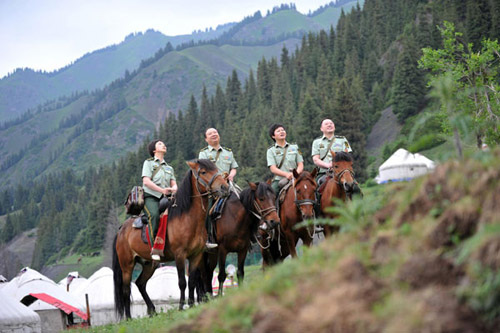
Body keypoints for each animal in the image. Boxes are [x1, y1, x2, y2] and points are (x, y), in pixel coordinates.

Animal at [112, 159, 229, 320]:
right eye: (204, 172)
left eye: (216, 169)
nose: (225, 187)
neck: (187, 218)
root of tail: (122, 229)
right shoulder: (180, 255)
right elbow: (182, 282)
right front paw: (181, 306)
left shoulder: (196, 255)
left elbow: (192, 281)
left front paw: (191, 304)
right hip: (127, 265)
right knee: (126, 289)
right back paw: (129, 318)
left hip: (149, 264)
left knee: (140, 283)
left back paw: (153, 310)